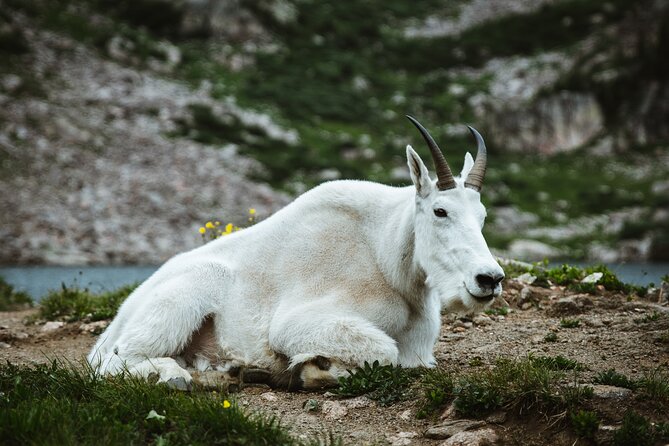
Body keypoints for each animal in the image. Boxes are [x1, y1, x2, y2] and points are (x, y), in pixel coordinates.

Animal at [90, 116, 506, 390]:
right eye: (440, 211)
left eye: (483, 216)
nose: (489, 279)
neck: (387, 257)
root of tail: (119, 317)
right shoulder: (296, 324)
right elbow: (383, 351)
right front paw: (314, 367)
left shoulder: (419, 351)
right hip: (184, 297)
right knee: (117, 360)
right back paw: (174, 376)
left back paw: (228, 371)